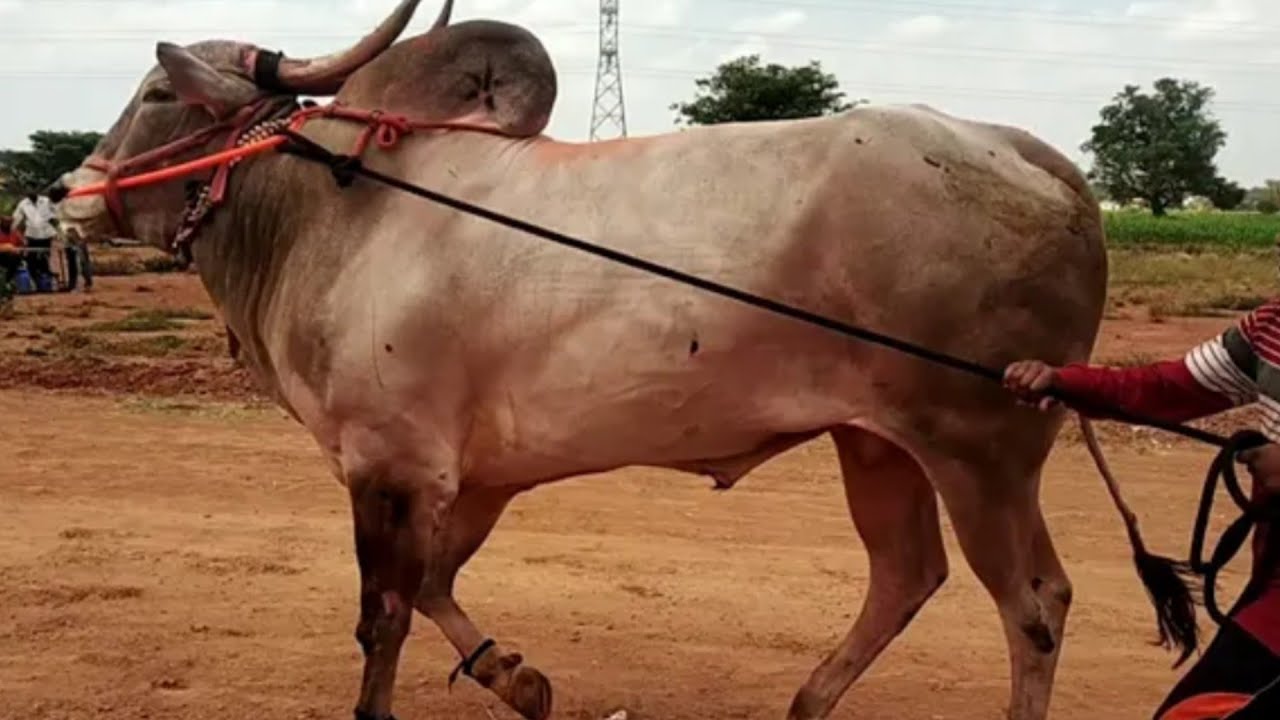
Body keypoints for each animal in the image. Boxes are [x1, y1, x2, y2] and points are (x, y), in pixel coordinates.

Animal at [52, 1, 1111, 718]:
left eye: (157, 93)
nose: (67, 190)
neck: (330, 208)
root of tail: (1031, 153)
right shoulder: (471, 478)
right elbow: (434, 588)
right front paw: (517, 678)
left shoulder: (389, 467)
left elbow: (385, 612)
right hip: (876, 442)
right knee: (907, 574)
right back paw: (809, 701)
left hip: (981, 447)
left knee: (1033, 605)